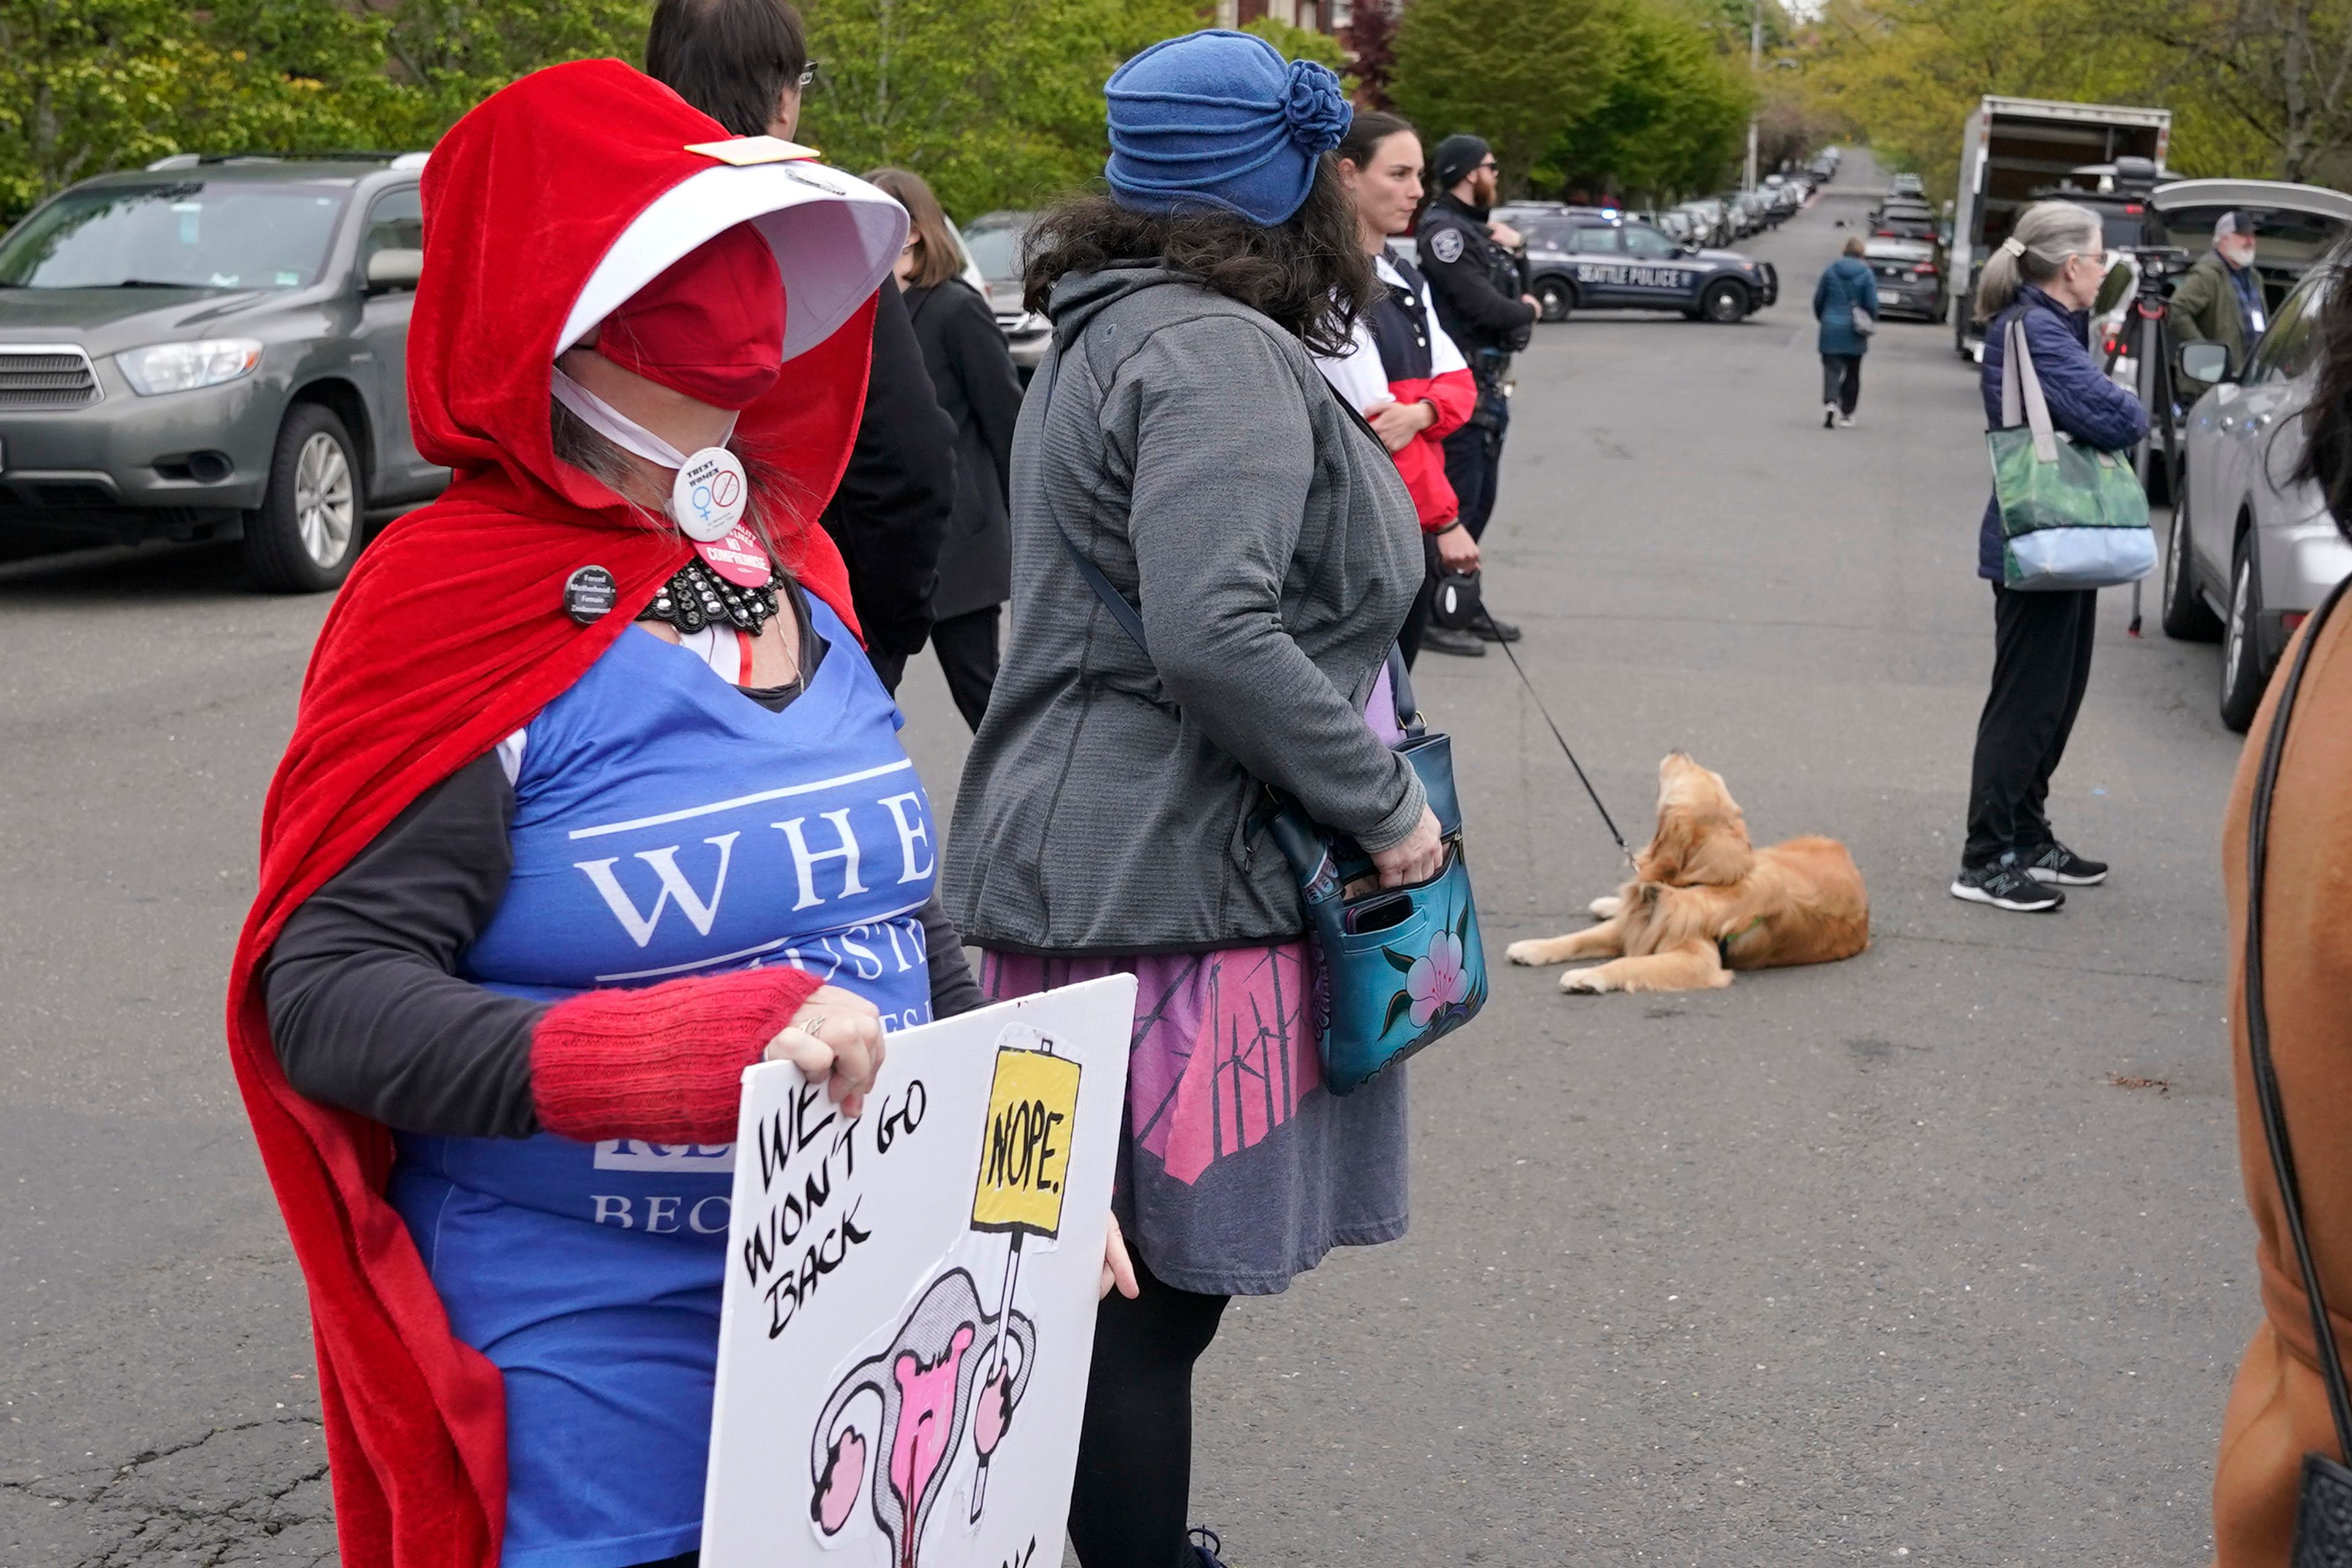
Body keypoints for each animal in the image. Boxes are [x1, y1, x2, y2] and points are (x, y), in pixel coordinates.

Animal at [1505, 756, 1872, 992]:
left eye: (1688, 773)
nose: (1677, 749)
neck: (1698, 884)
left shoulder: (1698, 958)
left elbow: (1631, 964)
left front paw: (1585, 977)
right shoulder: (1640, 922)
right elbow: (1578, 938)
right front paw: (1532, 947)